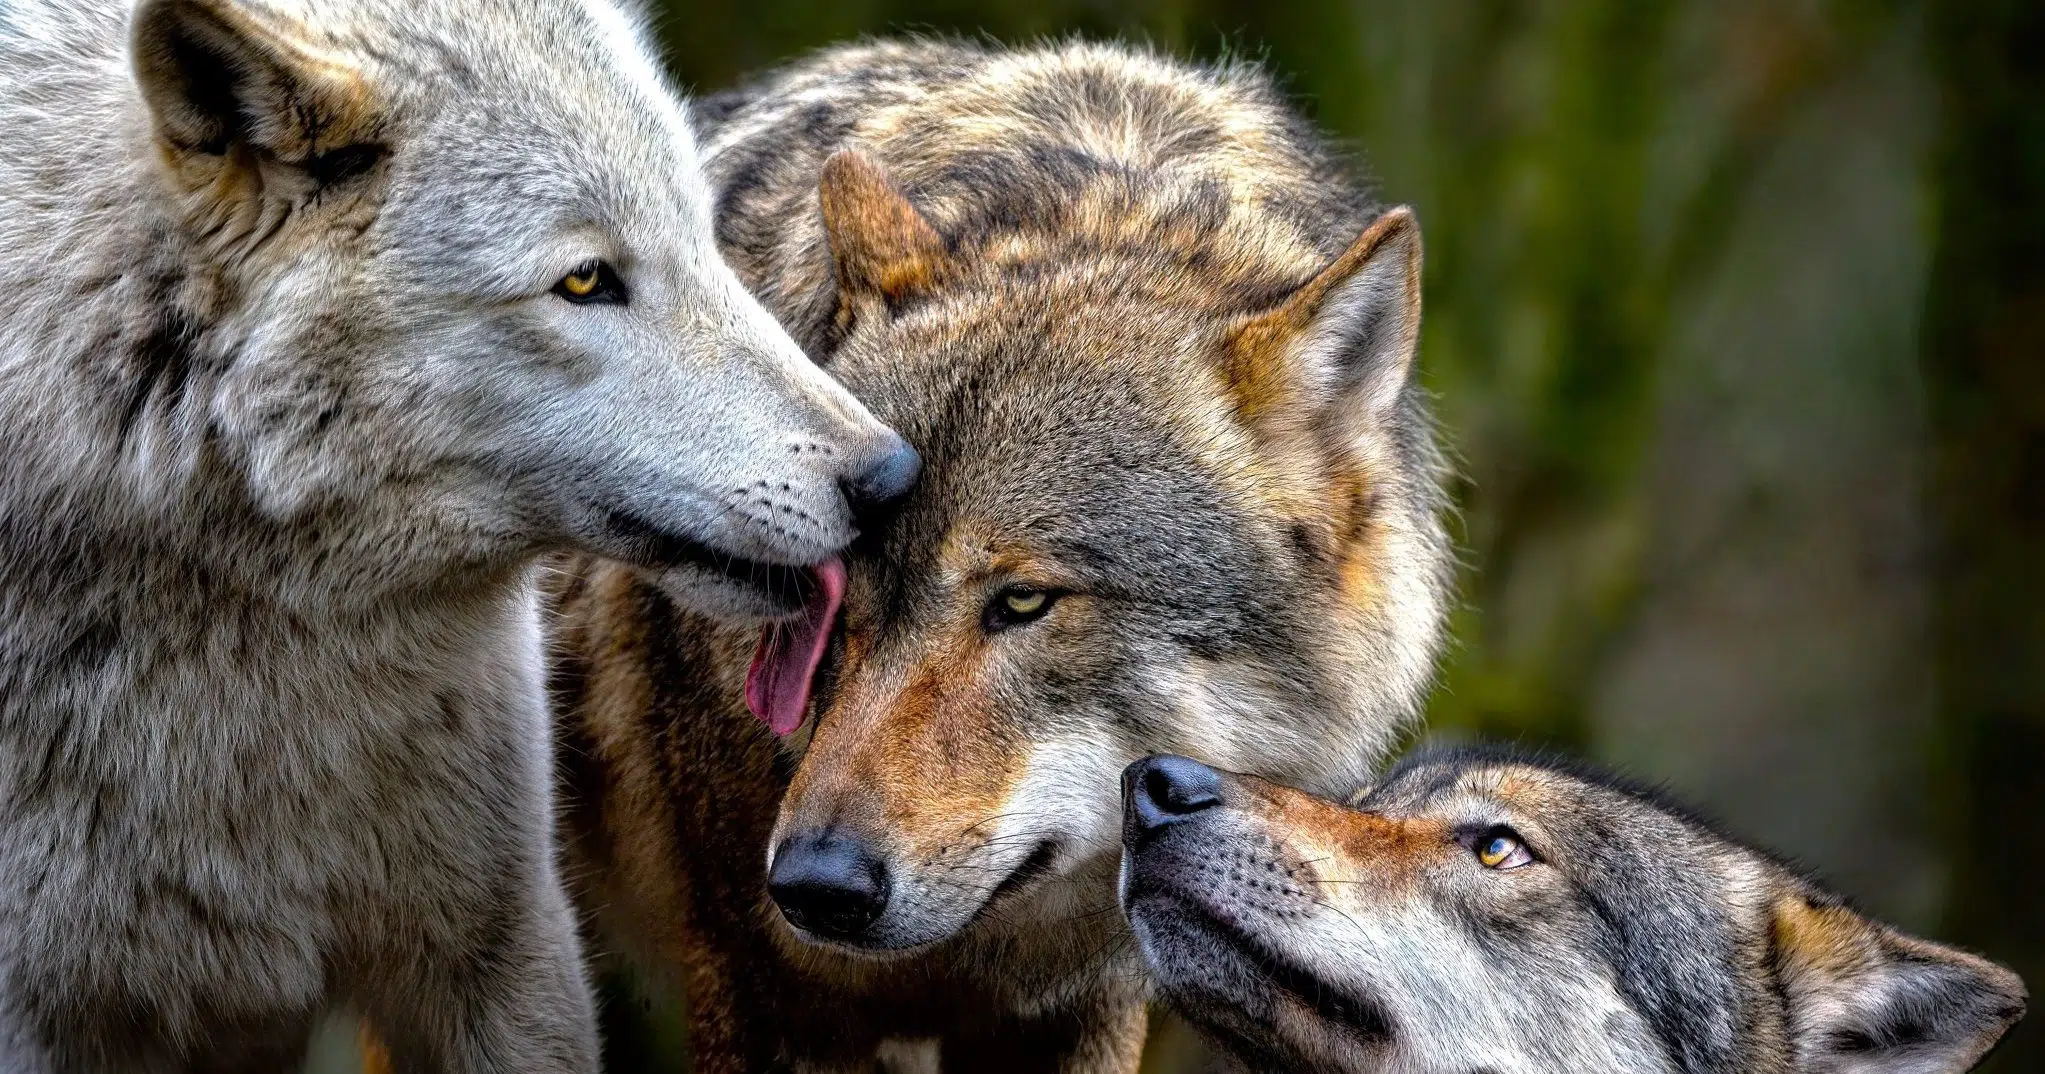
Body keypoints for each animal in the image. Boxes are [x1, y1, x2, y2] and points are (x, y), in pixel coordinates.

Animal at [553, 38, 1451, 1071]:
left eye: (1023, 603)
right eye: (827, 593)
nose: (815, 885)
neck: (1101, 205)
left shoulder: (1084, 1007)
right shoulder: (763, 993)